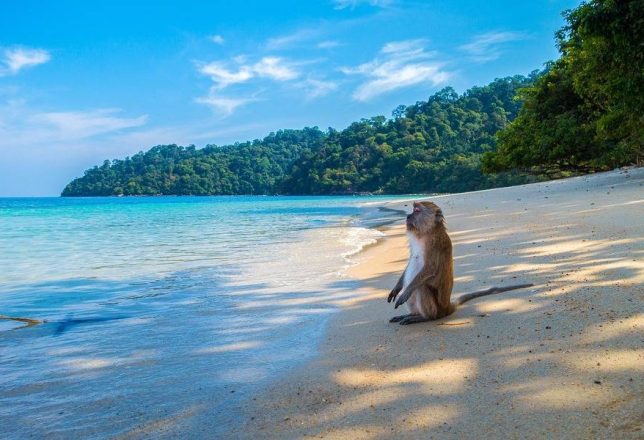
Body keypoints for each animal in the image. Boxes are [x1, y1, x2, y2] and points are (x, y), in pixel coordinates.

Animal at [387, 201, 533, 325]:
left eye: (416, 211)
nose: (407, 216)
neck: (426, 232)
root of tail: (446, 308)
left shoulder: (435, 243)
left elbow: (430, 269)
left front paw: (405, 293)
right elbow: (411, 260)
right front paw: (396, 289)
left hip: (437, 309)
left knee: (420, 287)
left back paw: (424, 317)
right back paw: (412, 315)